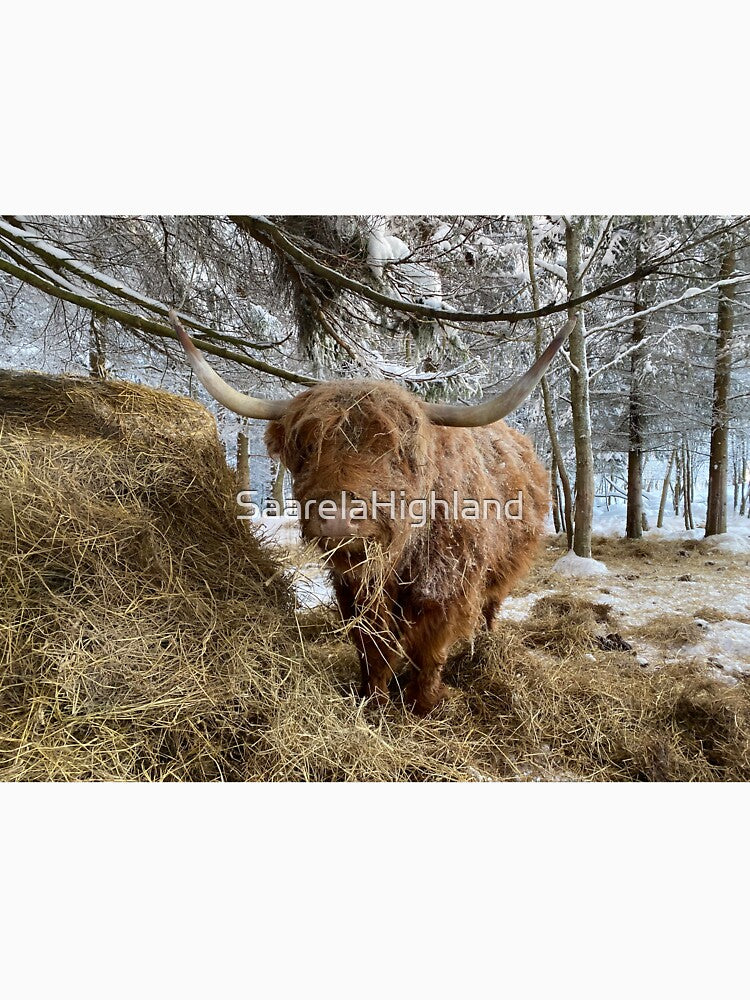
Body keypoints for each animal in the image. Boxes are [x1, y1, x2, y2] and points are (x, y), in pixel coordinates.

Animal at [169, 310, 573, 715]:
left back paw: (484, 648)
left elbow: (430, 649)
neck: (400, 557)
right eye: (308, 448)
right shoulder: (353, 590)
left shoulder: (446, 590)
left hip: (501, 571)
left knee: (490, 608)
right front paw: (373, 697)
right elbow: (372, 646)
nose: (337, 516)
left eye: (395, 453)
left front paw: (424, 701)